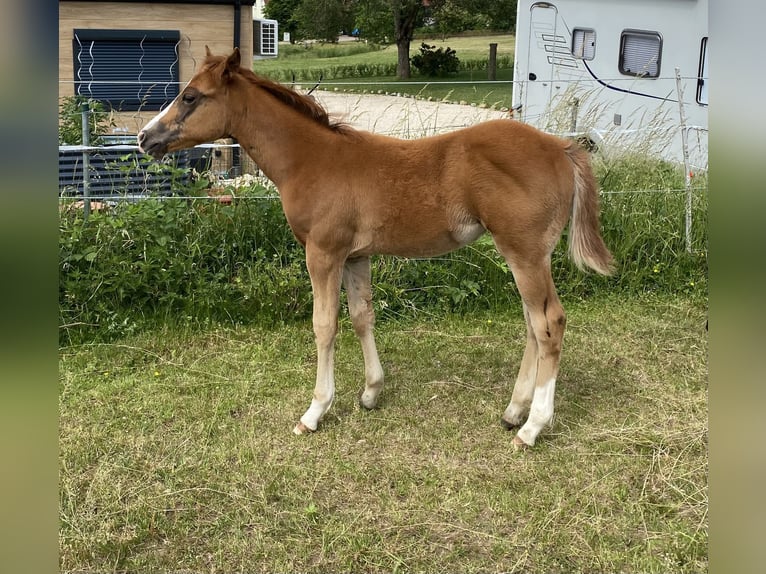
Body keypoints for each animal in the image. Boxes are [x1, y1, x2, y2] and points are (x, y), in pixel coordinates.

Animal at [138, 47, 614, 448]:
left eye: (190, 96)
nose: (145, 137)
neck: (312, 160)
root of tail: (561, 146)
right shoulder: (356, 256)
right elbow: (362, 317)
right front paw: (370, 393)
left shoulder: (323, 253)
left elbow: (324, 326)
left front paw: (315, 411)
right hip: (528, 256)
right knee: (534, 324)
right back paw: (514, 411)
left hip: (525, 253)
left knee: (550, 322)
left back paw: (532, 428)